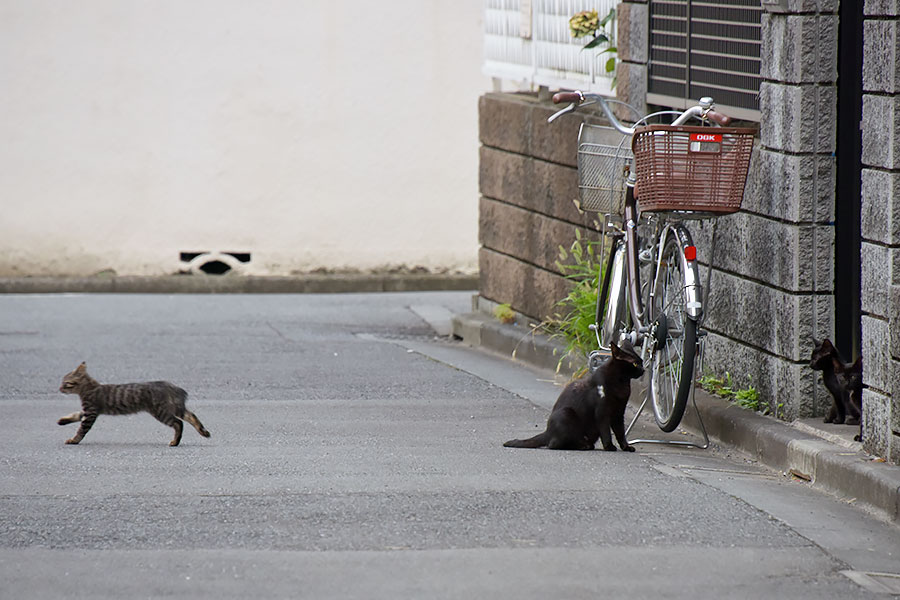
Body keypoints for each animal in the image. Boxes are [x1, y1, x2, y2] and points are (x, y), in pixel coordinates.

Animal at [57, 360, 210, 446]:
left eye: (65, 383)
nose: (59, 388)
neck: (89, 387)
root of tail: (170, 385)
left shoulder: (91, 412)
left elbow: (81, 430)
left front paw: (74, 440)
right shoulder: (88, 411)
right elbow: (76, 415)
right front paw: (62, 421)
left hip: (161, 412)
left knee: (179, 423)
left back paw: (175, 442)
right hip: (173, 408)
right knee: (191, 415)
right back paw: (204, 432)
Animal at [502, 342, 644, 450]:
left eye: (642, 362)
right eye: (635, 364)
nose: (643, 370)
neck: (622, 382)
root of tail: (547, 431)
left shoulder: (619, 412)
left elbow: (620, 432)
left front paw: (626, 447)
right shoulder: (602, 412)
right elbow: (606, 431)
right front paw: (609, 447)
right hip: (566, 413)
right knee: (553, 444)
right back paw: (583, 446)